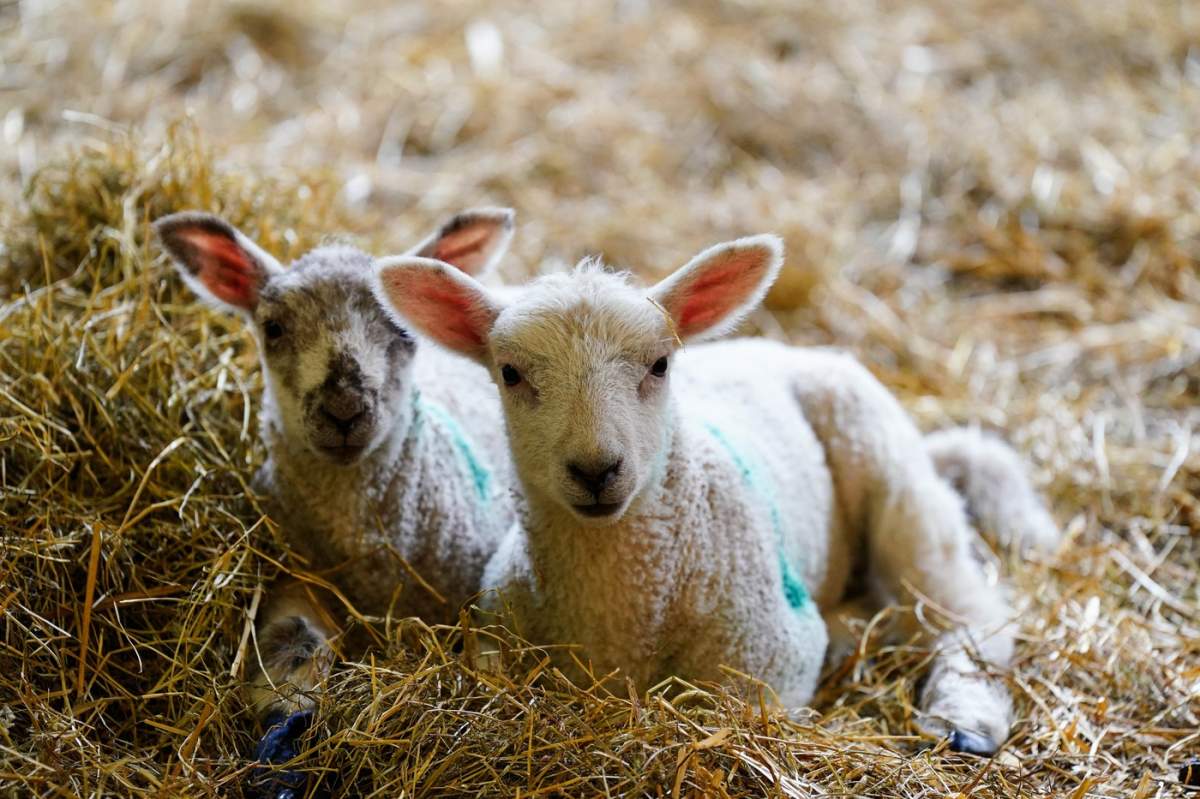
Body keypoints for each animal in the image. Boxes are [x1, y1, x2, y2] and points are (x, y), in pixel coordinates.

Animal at [153, 209, 519, 722]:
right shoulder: (293, 575)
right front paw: (287, 692)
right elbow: (297, 634)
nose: (344, 409)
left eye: (402, 330)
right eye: (273, 329)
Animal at [374, 236, 1059, 756]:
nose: (597, 469)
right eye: (511, 374)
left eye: (659, 366)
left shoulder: (766, 659)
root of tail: (773, 347)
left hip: (891, 473)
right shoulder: (495, 635)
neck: (622, 605)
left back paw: (963, 717)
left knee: (966, 609)